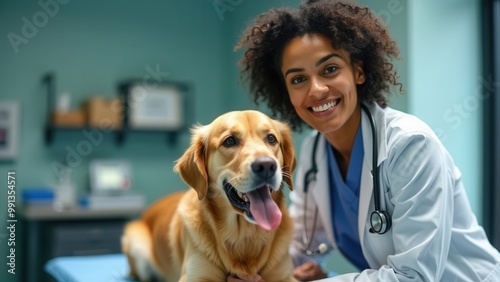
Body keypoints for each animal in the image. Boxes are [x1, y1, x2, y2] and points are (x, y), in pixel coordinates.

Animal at [122, 110, 296, 282]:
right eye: (230, 141)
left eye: (271, 139)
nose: (266, 165)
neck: (244, 238)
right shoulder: (194, 276)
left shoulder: (285, 276)